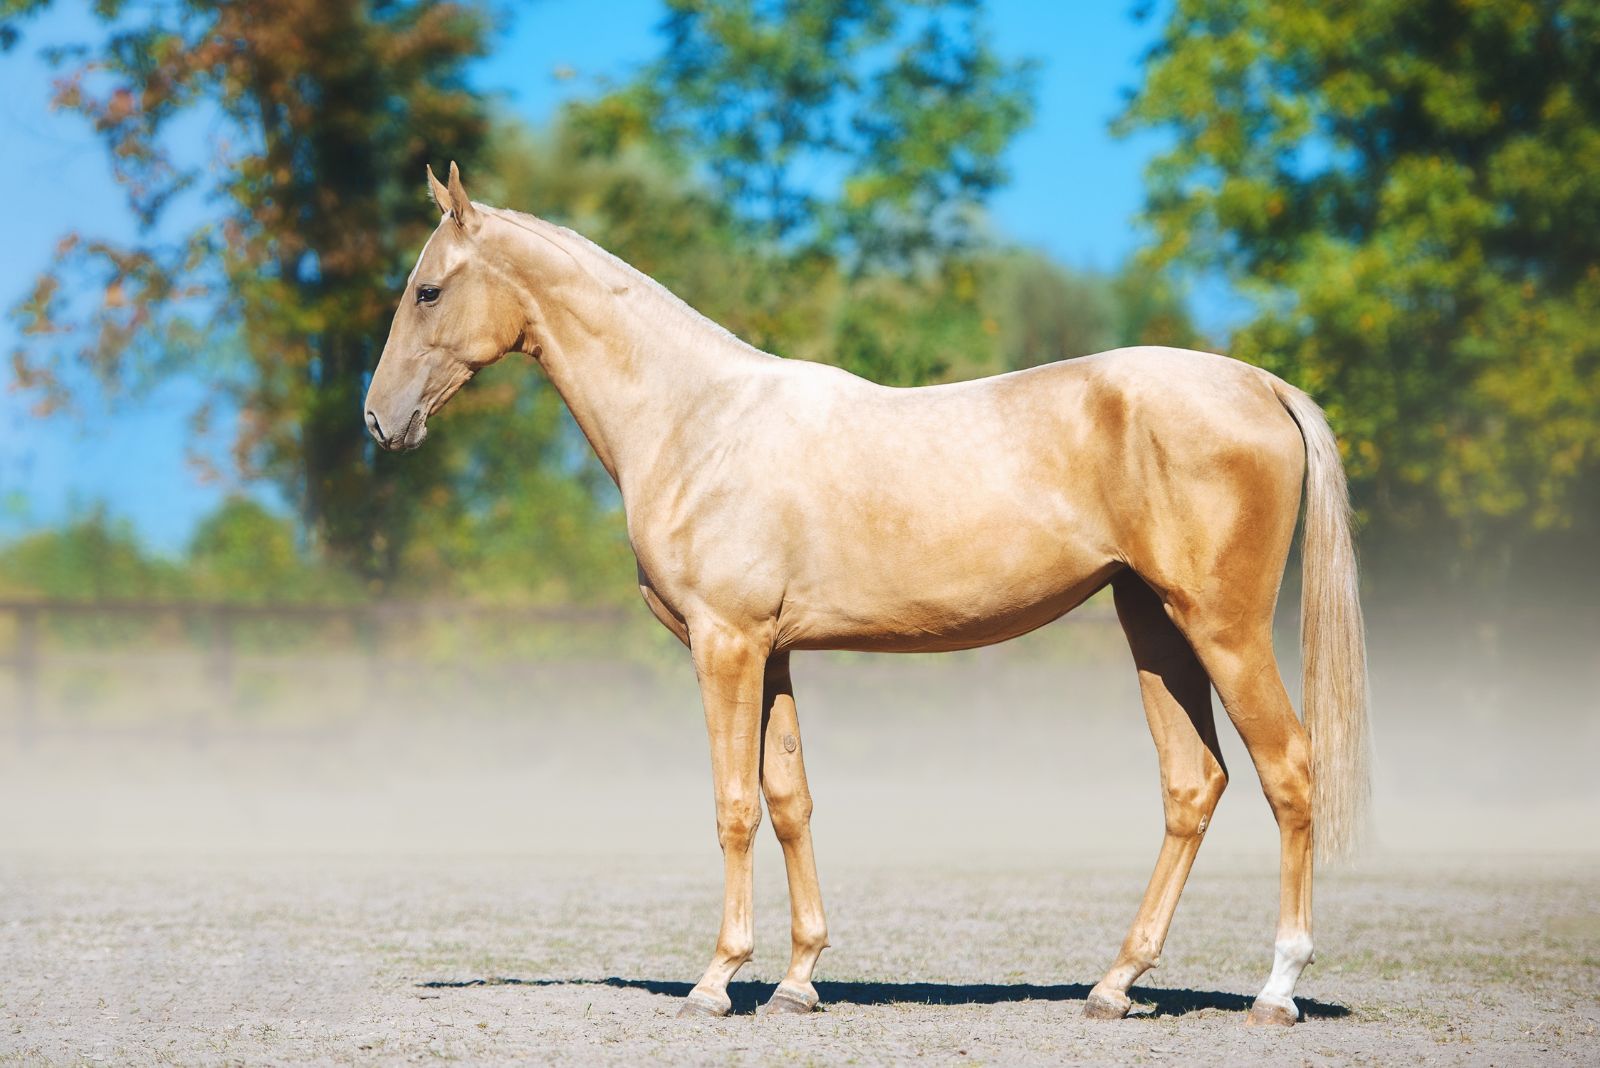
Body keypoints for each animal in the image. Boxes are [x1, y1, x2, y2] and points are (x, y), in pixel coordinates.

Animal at [366, 164, 1376, 1023]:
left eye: (427, 290)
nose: (380, 419)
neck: (697, 418)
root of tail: (1259, 384)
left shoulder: (726, 644)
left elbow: (734, 806)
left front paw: (716, 981)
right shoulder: (771, 653)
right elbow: (788, 801)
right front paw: (799, 981)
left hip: (1223, 629)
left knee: (1290, 770)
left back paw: (1276, 989)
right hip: (1154, 627)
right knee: (1193, 783)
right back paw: (1114, 985)